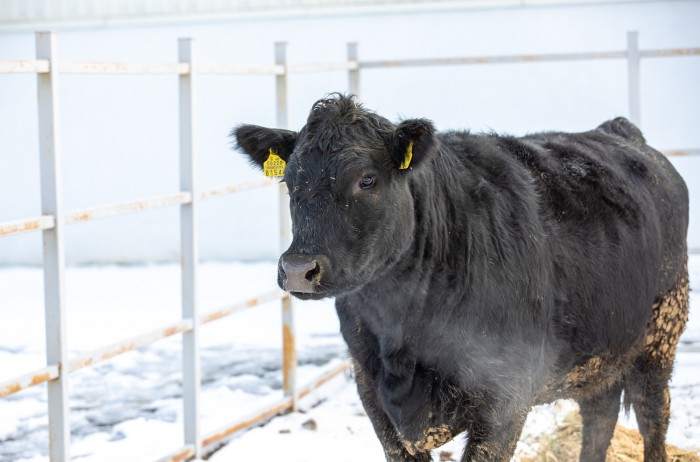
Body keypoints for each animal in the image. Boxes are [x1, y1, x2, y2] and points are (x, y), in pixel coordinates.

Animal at [234, 94, 688, 462]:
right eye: (290, 181)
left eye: (367, 179)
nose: (298, 269)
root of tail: (616, 130)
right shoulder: (373, 394)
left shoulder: (506, 397)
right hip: (600, 347)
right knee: (599, 415)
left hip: (661, 336)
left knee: (652, 418)